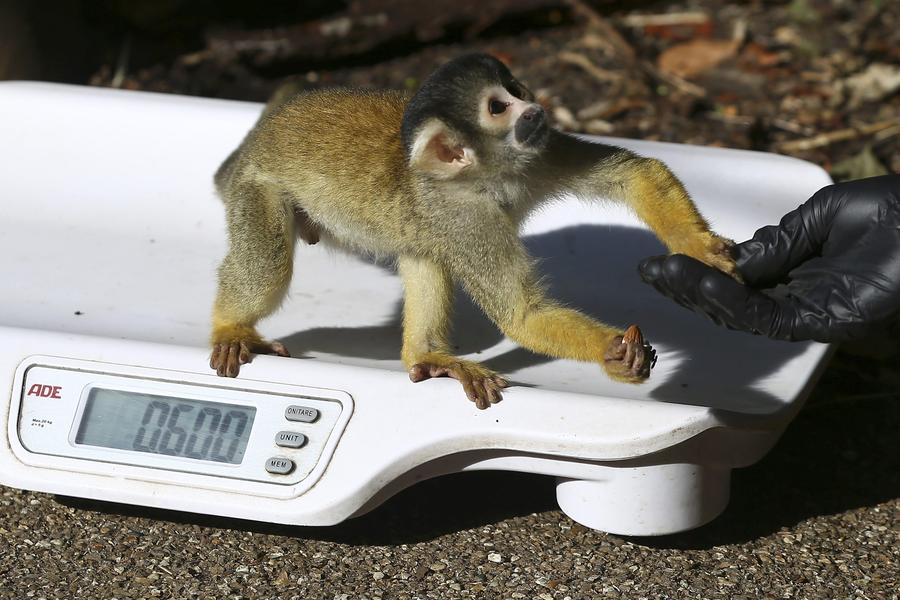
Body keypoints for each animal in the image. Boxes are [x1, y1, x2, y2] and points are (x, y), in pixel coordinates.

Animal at [211, 52, 740, 408]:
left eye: (517, 90)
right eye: (497, 107)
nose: (534, 109)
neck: (489, 175)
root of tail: (261, 137)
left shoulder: (538, 151)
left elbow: (634, 174)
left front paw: (696, 247)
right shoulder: (466, 217)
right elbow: (521, 315)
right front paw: (612, 355)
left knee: (425, 255)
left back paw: (427, 357)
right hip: (257, 189)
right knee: (270, 261)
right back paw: (231, 326)